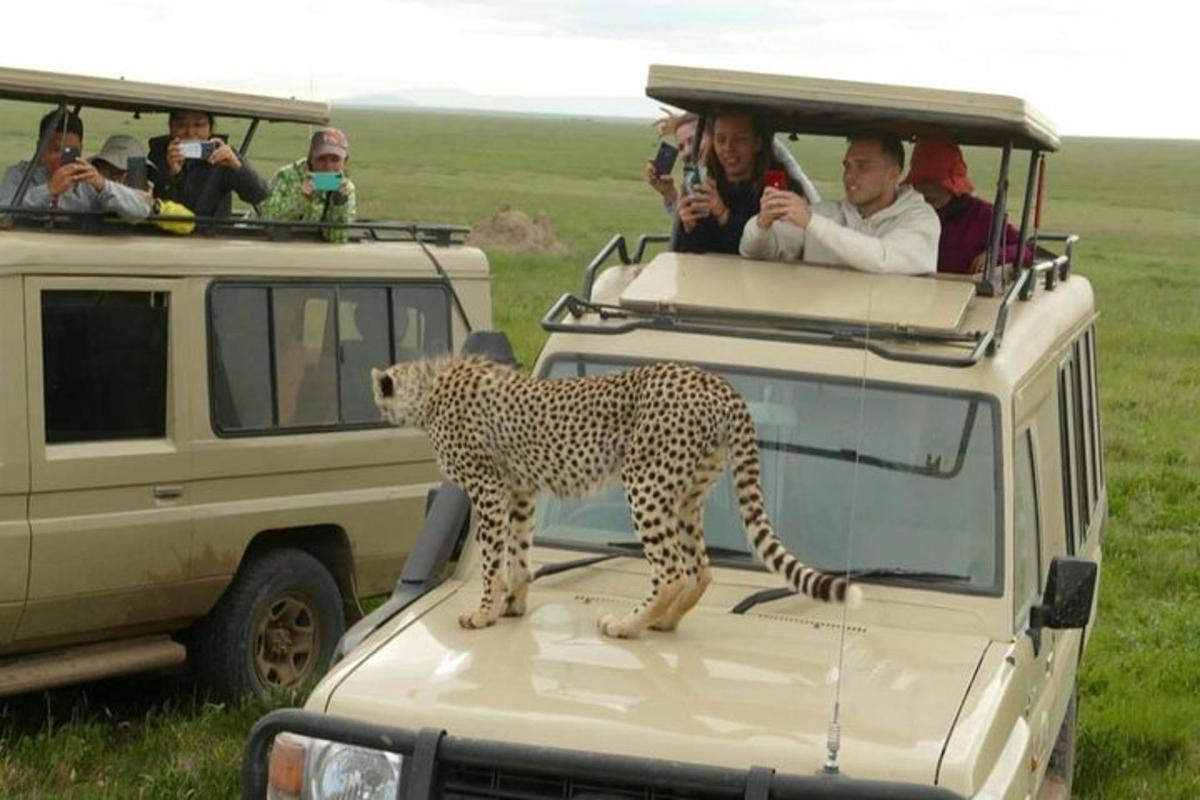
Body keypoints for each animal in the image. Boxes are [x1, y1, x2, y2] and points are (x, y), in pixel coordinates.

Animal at [369, 357, 859, 638]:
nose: (372, 407)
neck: (429, 390)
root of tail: (717, 383)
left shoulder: (487, 488)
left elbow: (492, 559)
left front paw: (485, 612)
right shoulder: (520, 489)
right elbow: (519, 553)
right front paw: (514, 606)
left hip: (645, 485)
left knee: (672, 570)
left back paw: (626, 625)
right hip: (686, 495)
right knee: (699, 569)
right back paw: (664, 622)